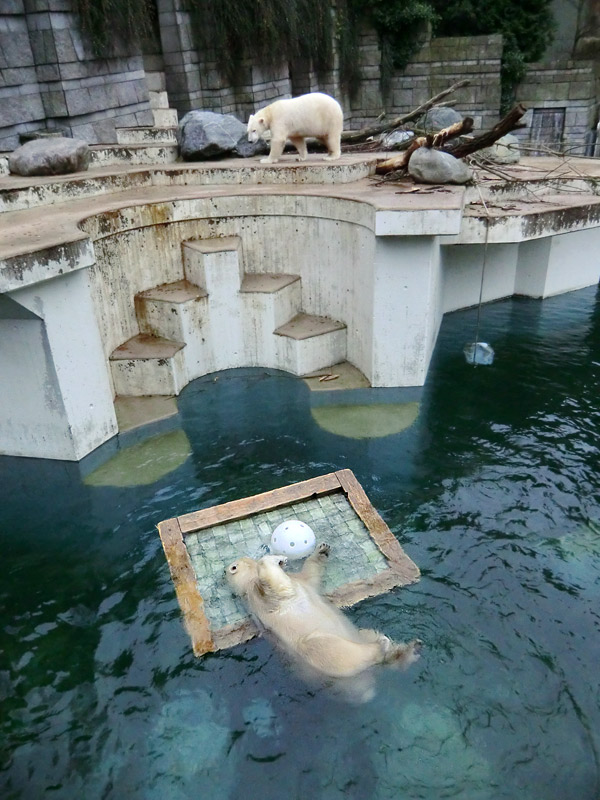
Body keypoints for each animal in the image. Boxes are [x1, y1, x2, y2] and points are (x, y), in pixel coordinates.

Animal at [226, 544, 422, 700]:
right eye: (234, 565)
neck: (246, 590)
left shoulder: (299, 581)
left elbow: (310, 574)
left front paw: (322, 550)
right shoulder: (261, 596)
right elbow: (277, 583)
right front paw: (277, 558)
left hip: (357, 637)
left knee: (367, 634)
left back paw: (408, 650)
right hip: (316, 651)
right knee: (328, 648)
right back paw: (383, 646)